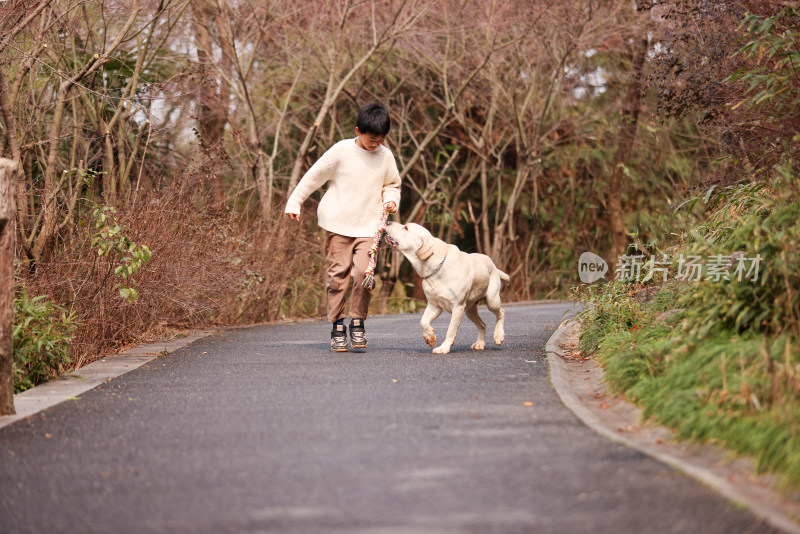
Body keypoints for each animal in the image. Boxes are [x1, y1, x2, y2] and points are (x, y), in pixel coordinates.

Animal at [384, 222, 510, 356]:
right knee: (482, 325)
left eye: (406, 228)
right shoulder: (434, 305)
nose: (388, 222)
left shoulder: (457, 307)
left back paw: (498, 336)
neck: (435, 268)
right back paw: (479, 343)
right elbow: (423, 321)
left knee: (501, 312)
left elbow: (451, 330)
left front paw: (443, 348)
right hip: (469, 310)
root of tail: (494, 266)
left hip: (491, 301)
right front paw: (430, 337)